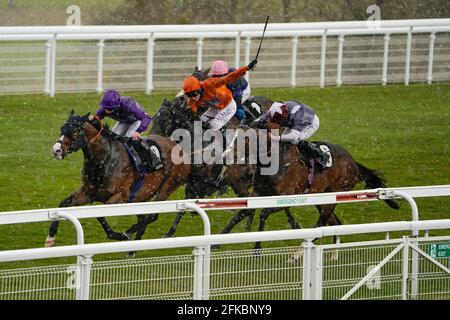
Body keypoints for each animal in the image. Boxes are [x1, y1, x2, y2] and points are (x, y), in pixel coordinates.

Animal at [48, 112, 190, 248]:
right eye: (62, 129)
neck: (104, 161)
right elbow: (63, 204)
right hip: (142, 196)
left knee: (151, 216)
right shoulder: (87, 193)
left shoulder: (121, 197)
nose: (56, 150)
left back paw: (130, 234)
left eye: (74, 131)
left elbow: (100, 215)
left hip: (167, 187)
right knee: (144, 217)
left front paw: (120, 235)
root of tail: (181, 149)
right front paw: (50, 238)